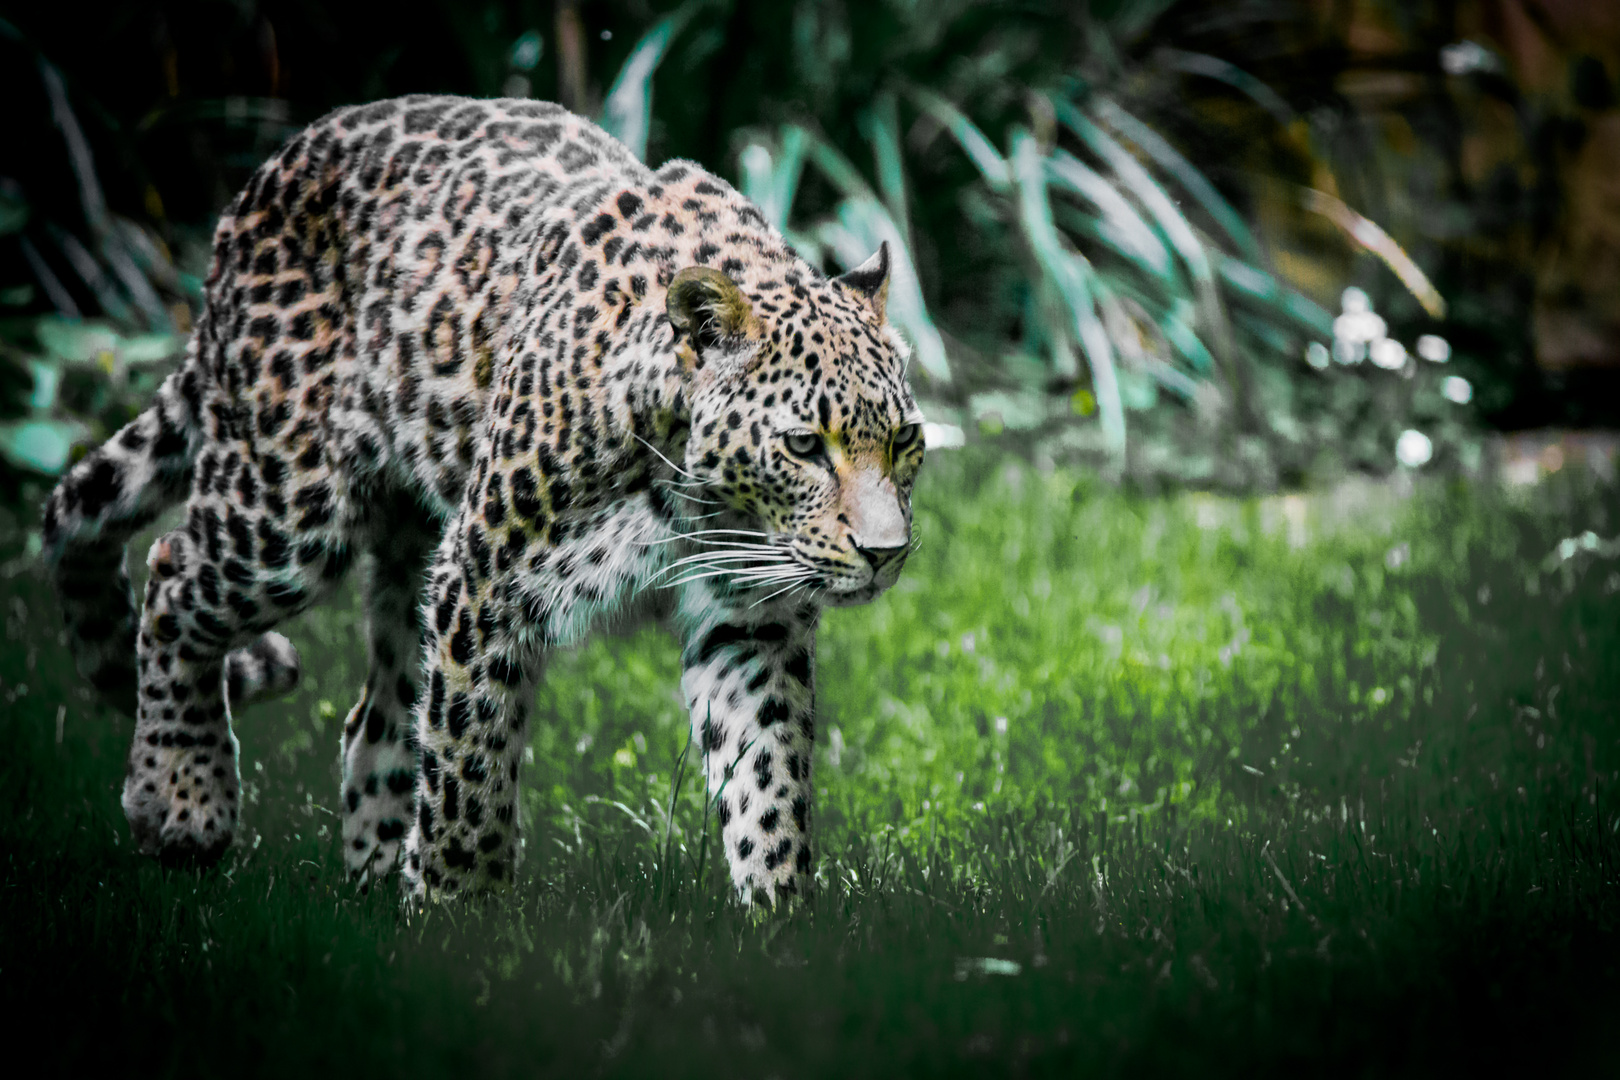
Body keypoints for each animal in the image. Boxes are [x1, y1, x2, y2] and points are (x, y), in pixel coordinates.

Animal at [41, 93, 926, 906]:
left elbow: (768, 775)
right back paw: (181, 799)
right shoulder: (485, 578)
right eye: (805, 446)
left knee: (375, 714)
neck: (691, 495)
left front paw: (777, 922)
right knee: (172, 574)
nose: (886, 556)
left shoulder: (750, 619)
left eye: (906, 441)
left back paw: (370, 872)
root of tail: (260, 182)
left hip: (406, 538)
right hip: (288, 509)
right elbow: (468, 758)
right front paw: (454, 915)